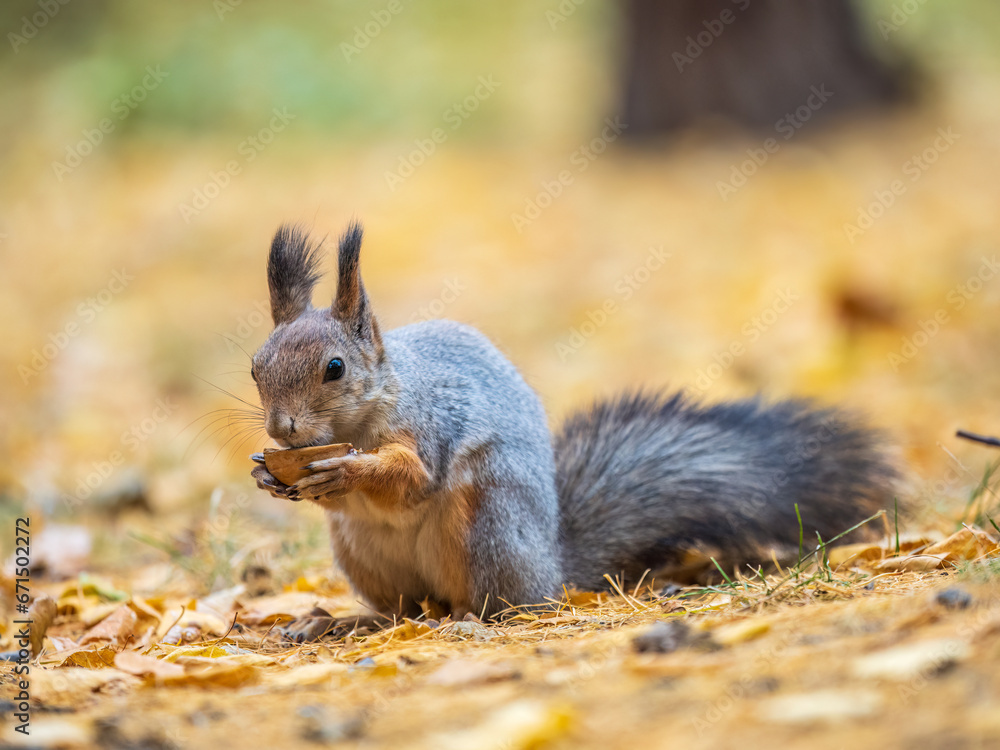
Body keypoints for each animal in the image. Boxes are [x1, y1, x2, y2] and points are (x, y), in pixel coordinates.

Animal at [249, 223, 898, 621]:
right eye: (256, 366)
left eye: (335, 369)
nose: (282, 431)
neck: (357, 424)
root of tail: (552, 565)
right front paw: (267, 474)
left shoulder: (431, 423)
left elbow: (411, 478)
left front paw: (347, 470)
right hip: (362, 553)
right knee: (401, 609)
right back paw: (343, 624)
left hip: (484, 523)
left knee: (503, 602)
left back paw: (466, 619)